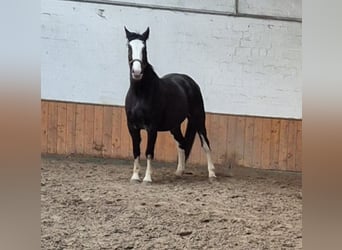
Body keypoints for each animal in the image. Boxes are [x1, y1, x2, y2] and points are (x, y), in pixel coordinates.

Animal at [125, 27, 216, 183]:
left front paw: (147, 178)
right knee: (182, 143)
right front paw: (135, 177)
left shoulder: (152, 128)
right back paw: (179, 172)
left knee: (206, 144)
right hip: (174, 126)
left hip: (198, 119)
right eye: (129, 47)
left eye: (144, 48)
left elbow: (149, 151)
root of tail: (189, 81)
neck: (140, 93)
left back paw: (212, 174)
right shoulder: (132, 127)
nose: (136, 72)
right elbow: (136, 151)